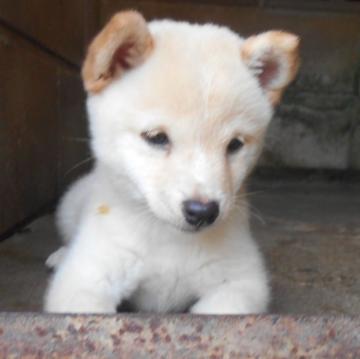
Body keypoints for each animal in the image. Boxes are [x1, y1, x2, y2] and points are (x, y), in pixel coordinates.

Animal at [44, 10, 298, 316]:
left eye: (235, 144)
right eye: (156, 137)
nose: (202, 212)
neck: (171, 240)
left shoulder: (239, 283)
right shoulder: (84, 282)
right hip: (69, 207)